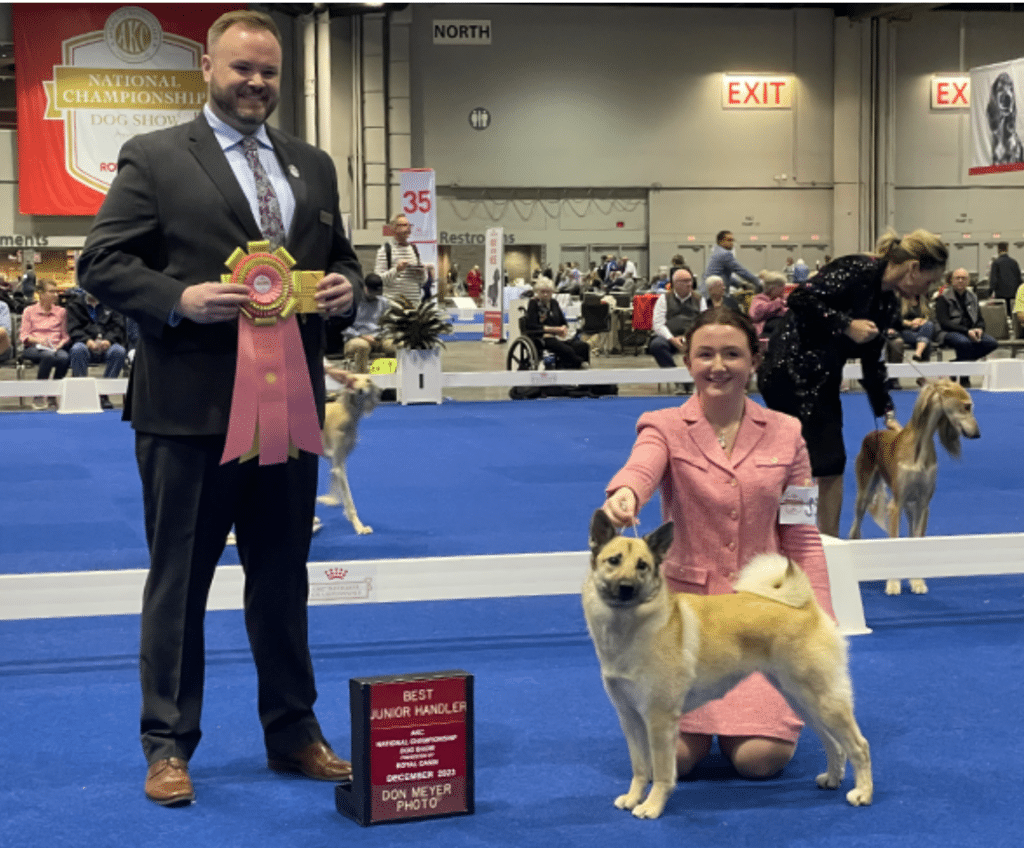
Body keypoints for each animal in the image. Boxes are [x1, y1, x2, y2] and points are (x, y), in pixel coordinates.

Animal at [317, 368, 382, 532]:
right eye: (353, 379)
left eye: (368, 380)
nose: (360, 390)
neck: (347, 413)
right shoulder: (339, 462)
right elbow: (348, 497)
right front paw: (359, 526)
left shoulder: (338, 459)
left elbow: (334, 479)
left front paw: (331, 499)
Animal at [585, 510, 872, 823]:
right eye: (614, 561)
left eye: (642, 566)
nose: (626, 588)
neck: (627, 628)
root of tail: (808, 607)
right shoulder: (630, 718)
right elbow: (640, 768)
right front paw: (633, 797)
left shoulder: (659, 719)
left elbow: (660, 772)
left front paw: (651, 806)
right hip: (801, 701)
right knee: (834, 744)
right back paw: (832, 779)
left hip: (822, 700)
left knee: (859, 746)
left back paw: (863, 793)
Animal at [847, 380, 983, 594]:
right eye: (967, 406)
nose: (977, 434)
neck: (919, 450)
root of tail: (873, 433)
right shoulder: (895, 505)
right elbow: (894, 540)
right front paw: (893, 583)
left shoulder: (922, 504)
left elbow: (916, 541)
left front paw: (917, 580)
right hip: (865, 493)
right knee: (856, 525)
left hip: (910, 506)